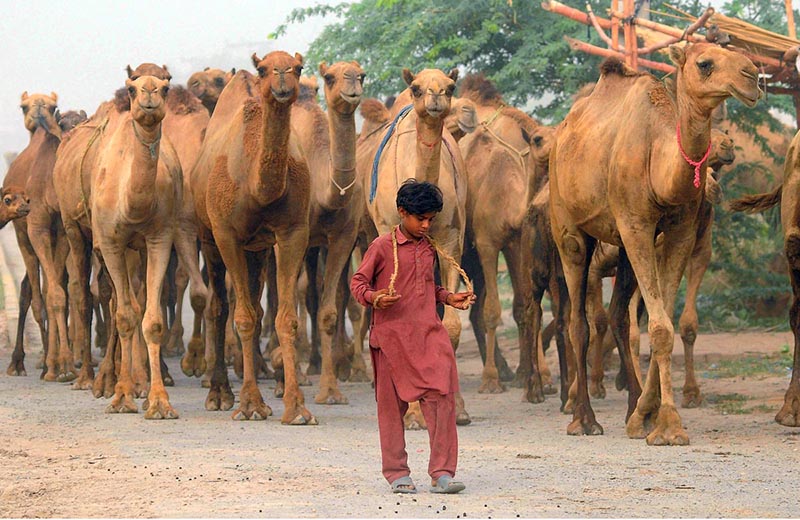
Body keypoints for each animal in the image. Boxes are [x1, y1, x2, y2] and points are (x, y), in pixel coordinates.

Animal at [191, 50, 316, 424]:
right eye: (263, 69)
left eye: (299, 67)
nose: (282, 79)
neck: (256, 187)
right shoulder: (226, 234)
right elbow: (242, 317)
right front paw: (249, 404)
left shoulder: (293, 232)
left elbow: (285, 318)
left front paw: (296, 407)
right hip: (208, 237)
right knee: (219, 307)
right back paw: (219, 393)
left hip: (258, 248)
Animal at [548, 42, 760, 444]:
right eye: (704, 63)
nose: (753, 77)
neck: (659, 164)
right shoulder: (635, 224)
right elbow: (660, 327)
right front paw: (670, 426)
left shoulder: (679, 232)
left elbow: (665, 324)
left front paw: (645, 417)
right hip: (568, 227)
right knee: (577, 322)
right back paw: (583, 419)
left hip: (622, 245)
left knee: (618, 316)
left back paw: (631, 406)